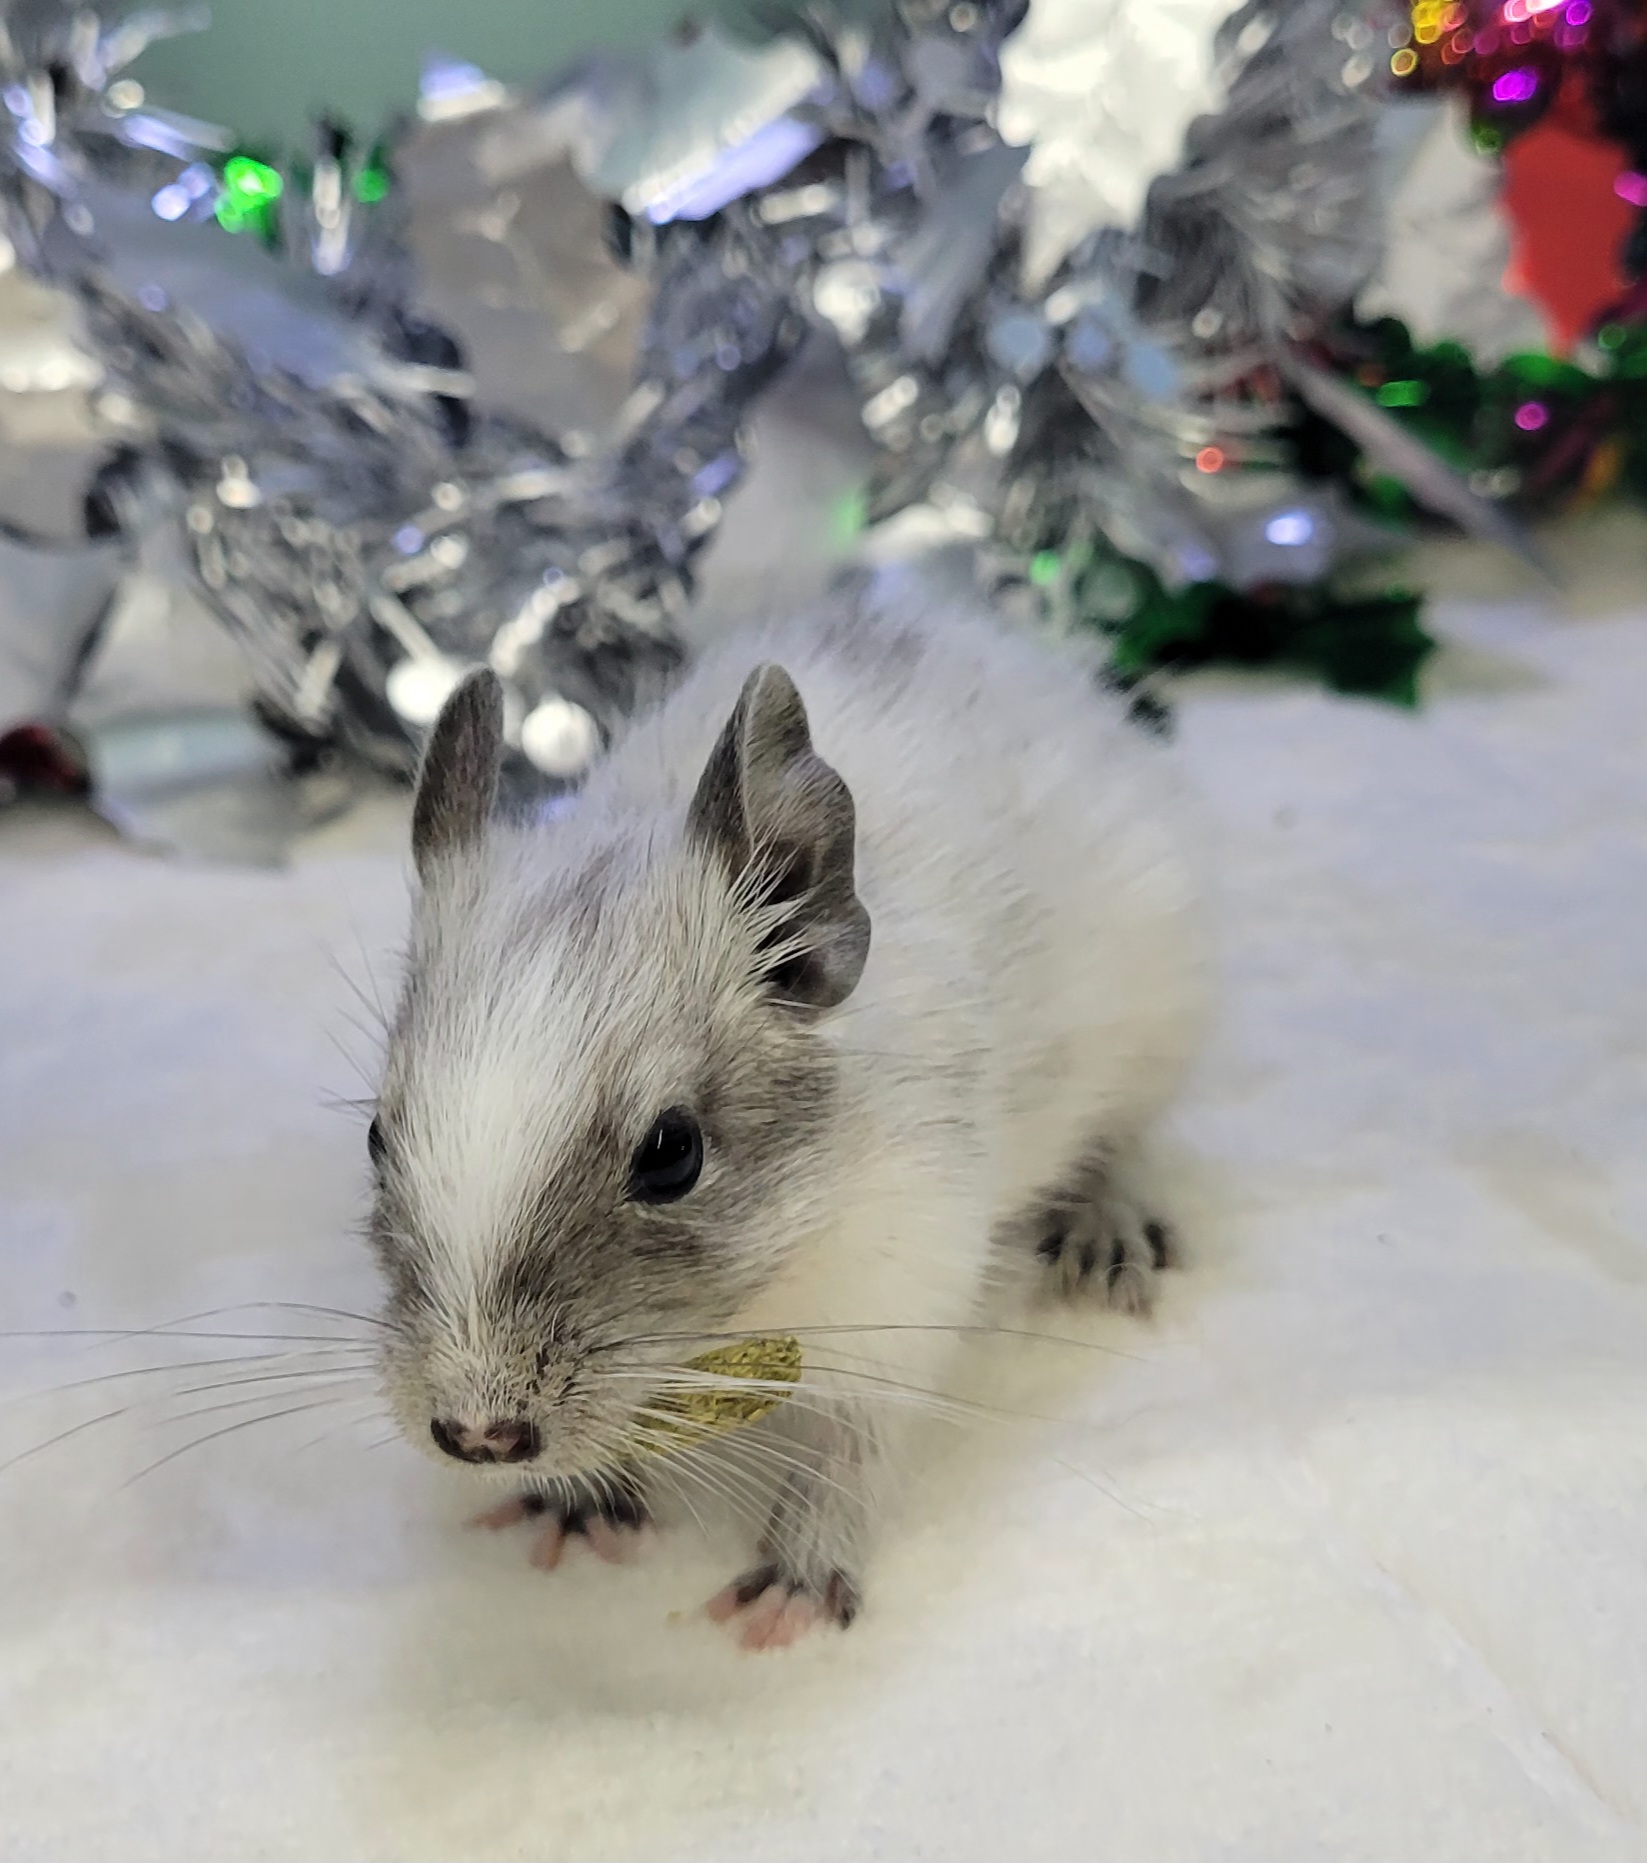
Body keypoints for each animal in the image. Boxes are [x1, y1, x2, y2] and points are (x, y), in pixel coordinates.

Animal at [367, 571, 1209, 1648]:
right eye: (376, 1138)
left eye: (672, 1154)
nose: (479, 1436)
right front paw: (577, 1509)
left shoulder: (904, 1290)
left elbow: (846, 1452)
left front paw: (792, 1598)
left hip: (1160, 1023)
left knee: (1123, 1137)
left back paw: (1106, 1234)